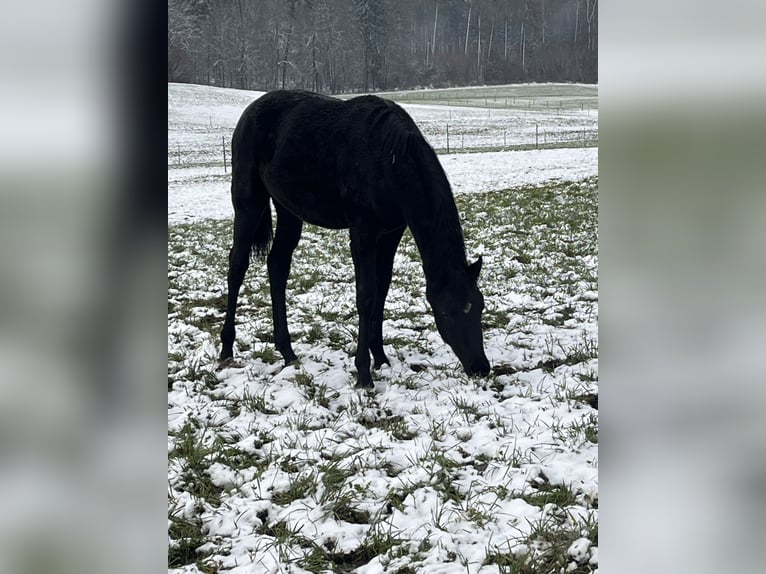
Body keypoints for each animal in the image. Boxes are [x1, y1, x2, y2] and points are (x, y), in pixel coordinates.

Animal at [219, 90, 492, 390]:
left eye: (480, 306)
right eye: (446, 312)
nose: (480, 367)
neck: (388, 157)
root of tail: (249, 112)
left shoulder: (391, 233)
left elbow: (382, 289)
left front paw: (380, 357)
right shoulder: (363, 232)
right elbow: (366, 295)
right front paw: (363, 373)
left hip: (289, 210)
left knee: (277, 265)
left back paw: (287, 351)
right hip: (249, 203)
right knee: (237, 266)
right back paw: (226, 350)